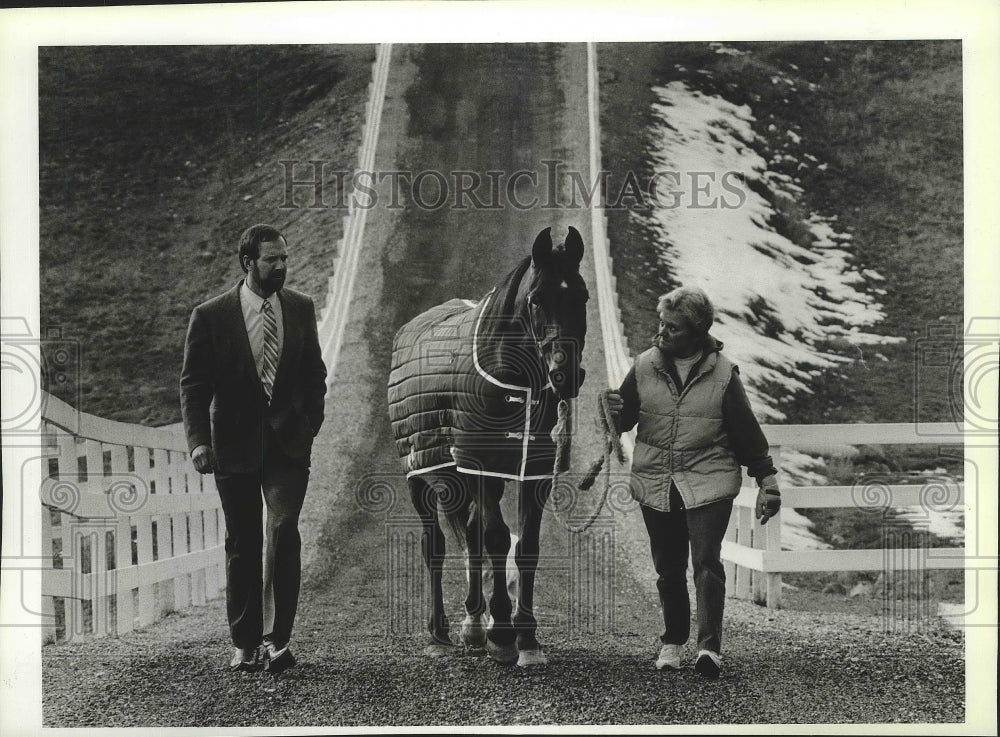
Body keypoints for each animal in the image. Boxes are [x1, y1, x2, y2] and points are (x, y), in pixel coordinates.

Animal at [386, 226, 588, 668]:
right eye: (536, 299)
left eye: (581, 295)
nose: (565, 375)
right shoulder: (479, 465)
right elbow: (496, 539)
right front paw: (503, 635)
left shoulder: (532, 474)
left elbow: (525, 546)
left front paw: (526, 637)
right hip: (420, 473)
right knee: (436, 545)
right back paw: (441, 632)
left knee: (471, 535)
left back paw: (474, 623)